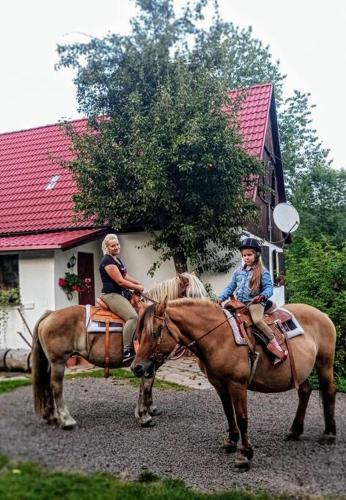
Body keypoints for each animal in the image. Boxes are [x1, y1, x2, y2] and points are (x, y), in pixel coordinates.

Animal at [31, 274, 208, 430]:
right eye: (193, 294)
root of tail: (50, 314)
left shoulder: (148, 362)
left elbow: (148, 385)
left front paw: (149, 409)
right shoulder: (147, 361)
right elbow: (146, 384)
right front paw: (144, 416)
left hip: (51, 363)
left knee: (47, 384)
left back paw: (52, 417)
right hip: (58, 361)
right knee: (56, 386)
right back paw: (67, 420)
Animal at [131, 298, 336, 470]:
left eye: (154, 332)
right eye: (139, 333)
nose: (136, 367)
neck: (218, 337)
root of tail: (324, 315)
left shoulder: (238, 385)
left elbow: (242, 418)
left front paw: (245, 455)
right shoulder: (219, 385)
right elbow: (229, 413)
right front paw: (231, 441)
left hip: (325, 364)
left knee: (329, 392)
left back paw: (329, 434)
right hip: (301, 372)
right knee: (305, 392)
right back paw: (295, 431)